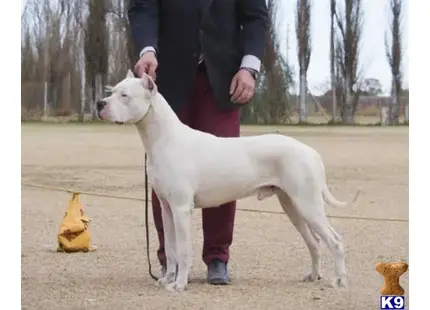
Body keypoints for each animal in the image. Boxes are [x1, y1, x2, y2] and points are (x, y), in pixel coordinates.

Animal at [96, 70, 360, 294]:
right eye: (112, 91)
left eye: (124, 95)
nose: (100, 103)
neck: (163, 139)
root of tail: (312, 153)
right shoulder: (167, 209)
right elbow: (171, 250)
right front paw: (167, 279)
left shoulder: (181, 209)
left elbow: (183, 250)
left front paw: (179, 285)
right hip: (293, 205)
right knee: (314, 243)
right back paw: (314, 275)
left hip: (308, 205)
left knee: (335, 241)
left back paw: (340, 281)